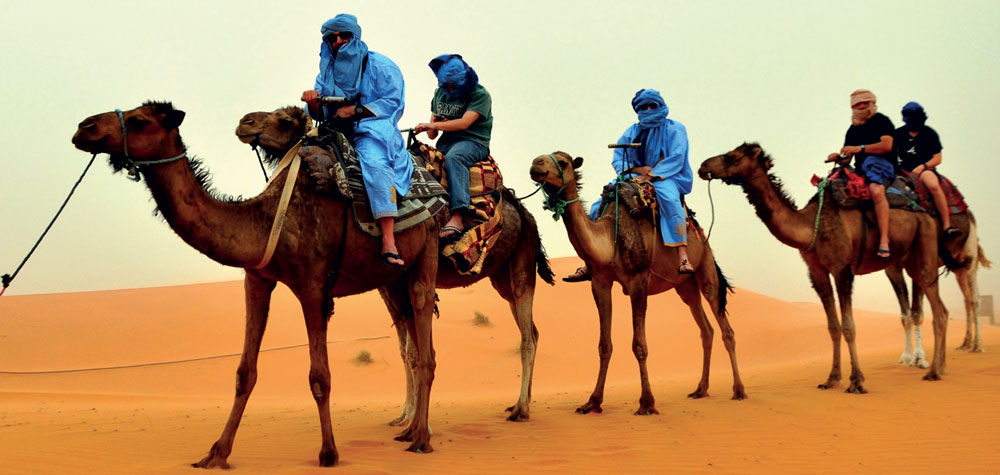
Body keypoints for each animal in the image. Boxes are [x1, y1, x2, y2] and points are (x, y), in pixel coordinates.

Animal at [72, 101, 440, 468]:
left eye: (138, 121)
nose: (83, 127)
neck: (267, 219)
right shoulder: (257, 279)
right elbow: (244, 373)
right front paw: (216, 453)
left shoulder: (313, 286)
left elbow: (319, 377)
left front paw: (328, 453)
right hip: (394, 277)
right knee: (415, 336)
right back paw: (410, 430)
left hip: (428, 247)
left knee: (423, 328)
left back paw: (421, 438)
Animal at [238, 106, 560, 422]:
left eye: (283, 119)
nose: (244, 123)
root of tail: (523, 211)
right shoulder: (388, 282)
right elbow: (407, 350)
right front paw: (405, 414)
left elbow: (414, 349)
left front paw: (412, 417)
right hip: (501, 275)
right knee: (530, 329)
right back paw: (522, 402)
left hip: (522, 261)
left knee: (527, 335)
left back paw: (521, 408)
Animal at [528, 152, 748, 416]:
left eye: (563, 162)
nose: (536, 164)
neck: (610, 239)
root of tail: (701, 233)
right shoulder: (600, 282)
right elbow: (604, 345)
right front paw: (593, 402)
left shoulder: (638, 281)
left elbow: (639, 345)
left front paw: (646, 402)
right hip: (685, 285)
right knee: (706, 329)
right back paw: (700, 389)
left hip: (705, 267)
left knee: (726, 328)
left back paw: (739, 390)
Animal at [700, 143, 956, 392]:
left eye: (731, 156)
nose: (703, 166)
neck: (810, 225)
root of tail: (927, 213)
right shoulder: (817, 272)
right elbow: (833, 327)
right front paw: (832, 379)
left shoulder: (842, 269)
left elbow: (849, 326)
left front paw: (857, 381)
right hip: (910, 259)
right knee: (942, 309)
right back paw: (941, 368)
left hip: (924, 247)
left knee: (939, 311)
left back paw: (933, 372)